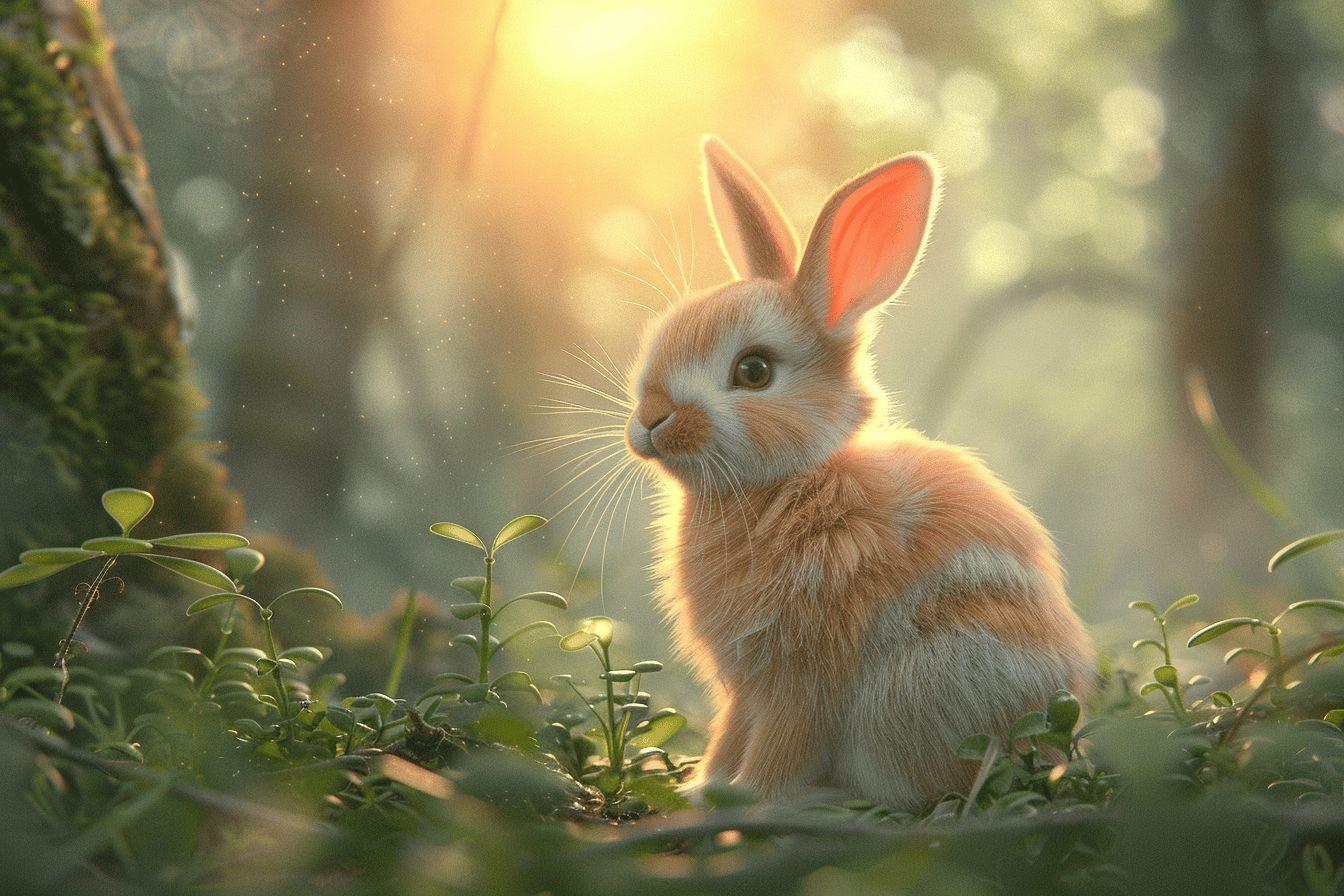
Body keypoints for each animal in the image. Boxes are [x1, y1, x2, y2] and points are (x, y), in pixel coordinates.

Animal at [621, 135, 1095, 809]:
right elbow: (729, 735)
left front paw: (744, 799)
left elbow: (779, 751)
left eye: (754, 371)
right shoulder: (747, 689)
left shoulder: (802, 676)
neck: (787, 481)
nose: (651, 420)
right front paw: (699, 787)